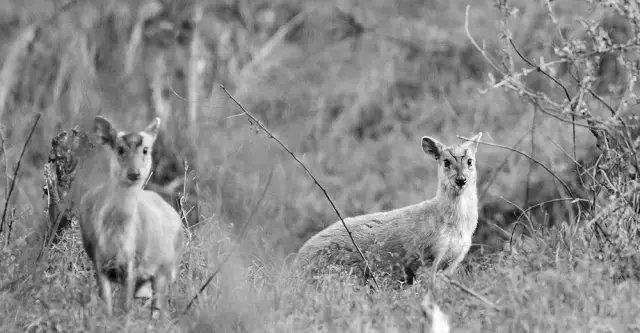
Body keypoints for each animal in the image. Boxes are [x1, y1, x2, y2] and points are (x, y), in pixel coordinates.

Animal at [79, 116, 184, 316]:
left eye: (145, 149)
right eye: (119, 149)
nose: (134, 173)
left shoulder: (133, 261)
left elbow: (125, 307)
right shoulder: (98, 259)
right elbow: (108, 305)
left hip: (166, 267)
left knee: (159, 307)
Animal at [298, 132, 482, 282]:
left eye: (470, 161)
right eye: (446, 162)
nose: (461, 180)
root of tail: (296, 265)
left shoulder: (453, 261)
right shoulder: (426, 256)